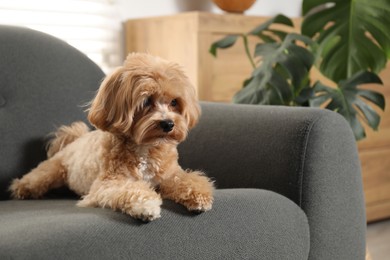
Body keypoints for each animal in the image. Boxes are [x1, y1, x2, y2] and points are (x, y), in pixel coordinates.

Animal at [9, 52, 215, 221]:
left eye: (174, 102)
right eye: (146, 101)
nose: (168, 124)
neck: (145, 148)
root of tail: (75, 139)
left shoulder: (170, 175)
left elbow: (188, 179)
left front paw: (199, 195)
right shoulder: (108, 183)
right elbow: (131, 190)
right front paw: (146, 205)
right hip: (49, 172)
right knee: (32, 179)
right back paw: (20, 189)